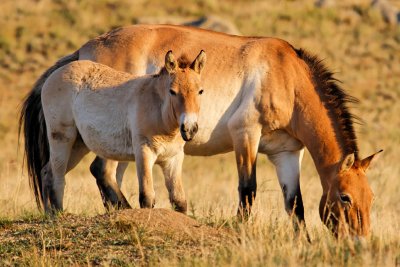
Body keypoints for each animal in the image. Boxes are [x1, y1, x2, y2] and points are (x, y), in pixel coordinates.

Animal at [37, 49, 206, 214]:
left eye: (200, 91)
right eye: (172, 91)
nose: (189, 129)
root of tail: (55, 74)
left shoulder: (173, 159)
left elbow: (179, 202)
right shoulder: (144, 153)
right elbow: (147, 198)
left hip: (78, 145)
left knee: (47, 173)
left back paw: (48, 215)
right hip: (62, 138)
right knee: (58, 178)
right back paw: (58, 214)